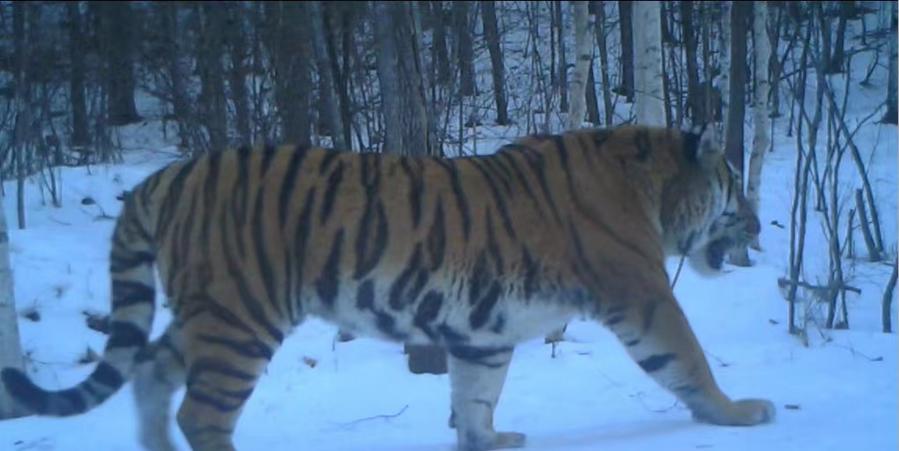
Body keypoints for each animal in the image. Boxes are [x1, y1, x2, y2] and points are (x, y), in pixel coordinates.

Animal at [0, 124, 772, 451]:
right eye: (734, 183)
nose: (761, 224)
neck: (652, 188)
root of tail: (165, 174)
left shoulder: (483, 328)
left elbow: (476, 393)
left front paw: (488, 439)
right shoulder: (644, 294)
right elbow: (688, 360)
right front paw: (739, 412)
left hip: (207, 313)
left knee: (152, 372)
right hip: (239, 317)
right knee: (202, 414)